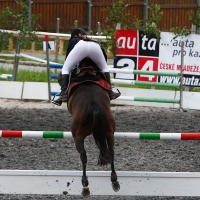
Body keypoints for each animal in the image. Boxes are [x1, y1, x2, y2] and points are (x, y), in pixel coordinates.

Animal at [57, 58, 120, 197]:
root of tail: (93, 104)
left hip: (78, 137)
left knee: (83, 156)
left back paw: (85, 186)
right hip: (109, 132)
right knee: (111, 151)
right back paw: (114, 180)